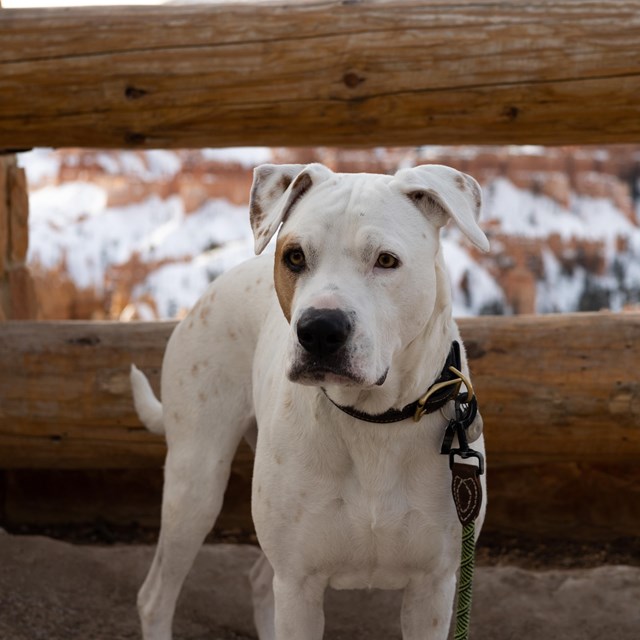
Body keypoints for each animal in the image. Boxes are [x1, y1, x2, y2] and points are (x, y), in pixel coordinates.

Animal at [132, 162, 488, 636]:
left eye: (386, 260)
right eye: (295, 257)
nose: (320, 329)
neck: (372, 420)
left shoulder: (433, 589)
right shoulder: (298, 583)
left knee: (258, 580)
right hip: (195, 485)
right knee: (156, 596)